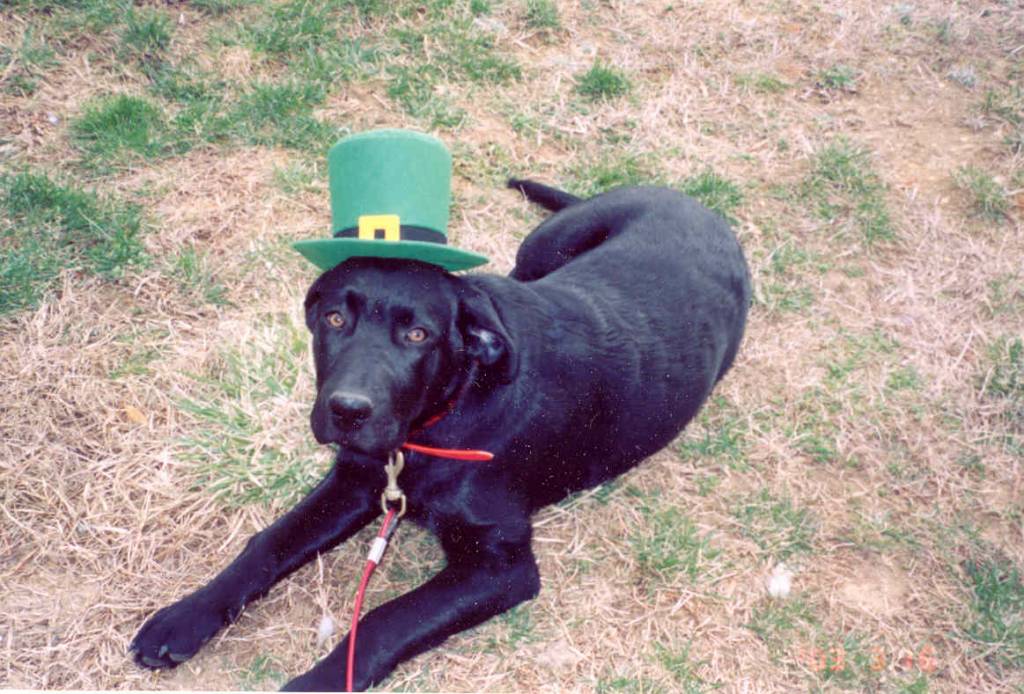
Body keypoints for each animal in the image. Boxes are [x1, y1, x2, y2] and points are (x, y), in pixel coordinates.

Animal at [128, 179, 753, 691]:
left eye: (417, 335)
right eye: (334, 319)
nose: (347, 410)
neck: (438, 420)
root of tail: (690, 200)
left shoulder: (501, 563)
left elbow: (386, 618)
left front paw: (316, 684)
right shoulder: (357, 478)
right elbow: (269, 543)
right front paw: (186, 616)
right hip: (543, 248)